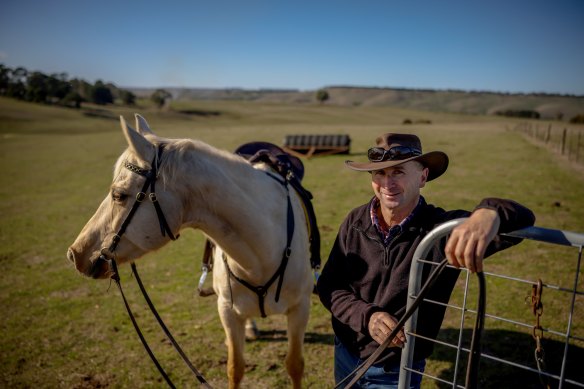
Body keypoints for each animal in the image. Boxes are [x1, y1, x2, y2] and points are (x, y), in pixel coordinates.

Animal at [66, 113, 314, 386]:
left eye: (118, 195)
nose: (75, 253)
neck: (262, 254)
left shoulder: (300, 309)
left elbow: (295, 365)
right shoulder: (227, 311)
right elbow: (235, 368)